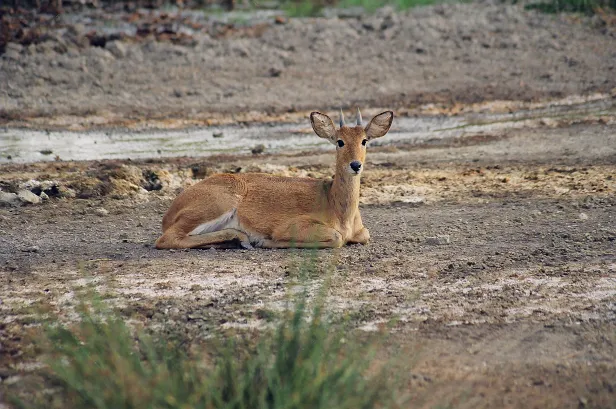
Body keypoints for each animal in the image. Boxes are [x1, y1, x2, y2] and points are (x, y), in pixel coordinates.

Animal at [154, 108, 394, 249]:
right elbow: (336, 238)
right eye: (339, 141)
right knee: (166, 239)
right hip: (217, 205)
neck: (338, 208)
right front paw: (266, 240)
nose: (355, 165)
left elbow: (364, 235)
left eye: (364, 140)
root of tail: (170, 212)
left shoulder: (361, 232)